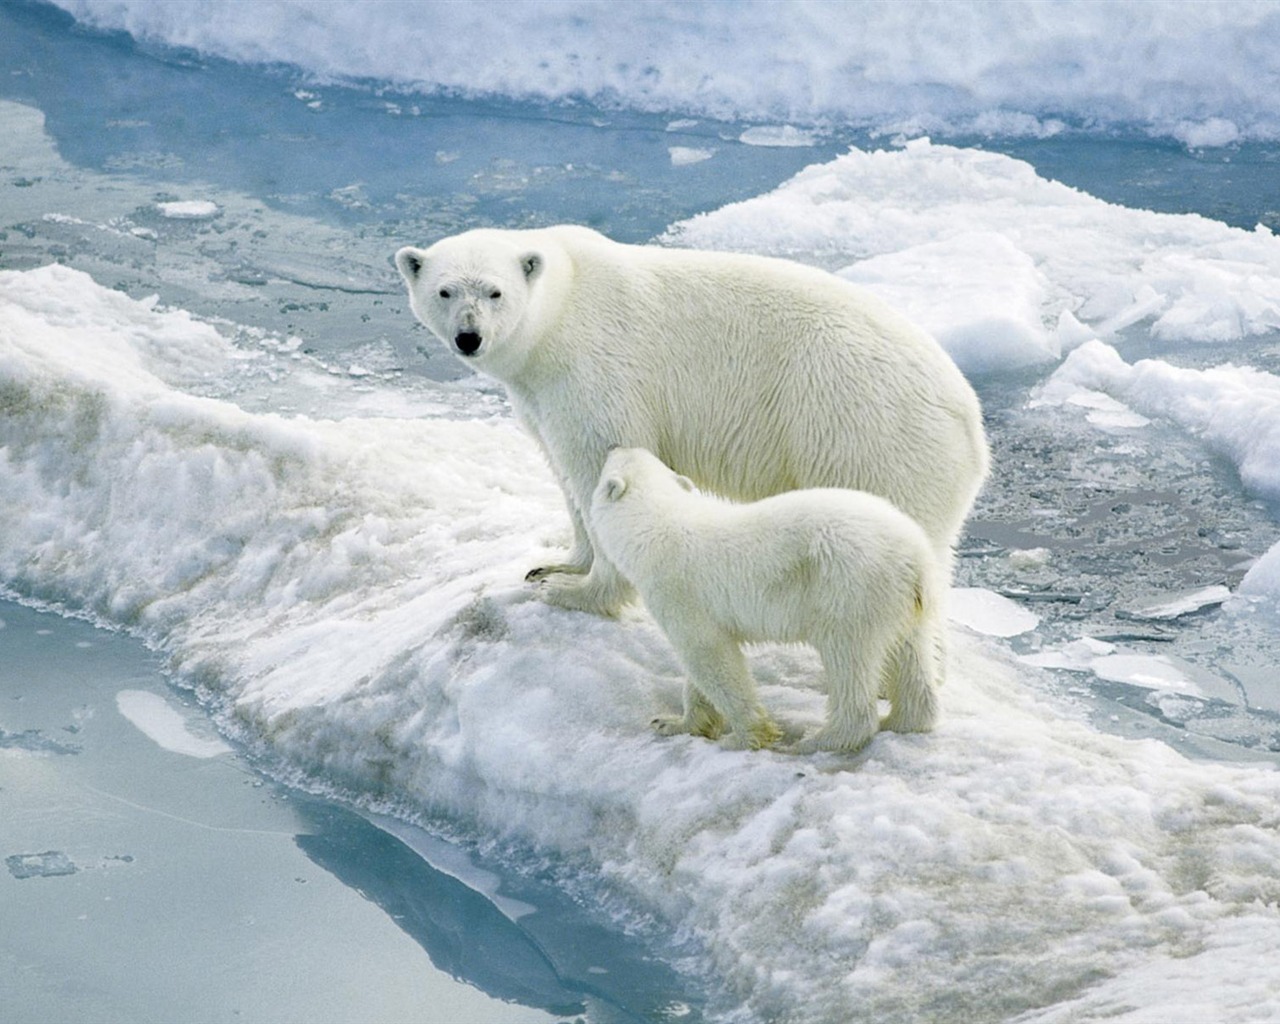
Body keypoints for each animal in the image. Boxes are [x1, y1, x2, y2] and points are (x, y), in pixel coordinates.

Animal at [394, 226, 983, 619]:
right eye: (445, 291)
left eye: (495, 292)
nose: (469, 337)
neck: (560, 310)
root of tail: (972, 424)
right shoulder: (538, 392)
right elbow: (562, 470)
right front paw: (556, 565)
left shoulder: (596, 369)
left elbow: (600, 462)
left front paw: (578, 594)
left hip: (866, 436)